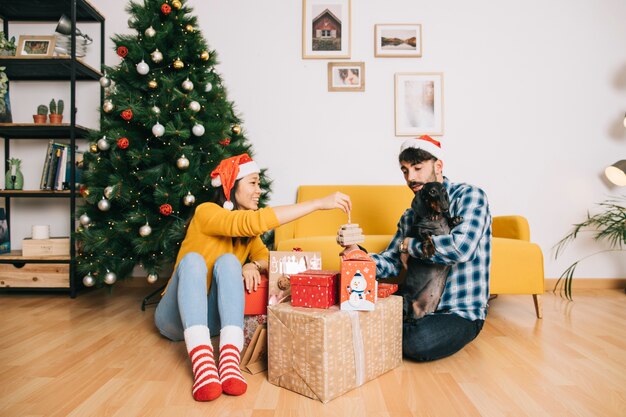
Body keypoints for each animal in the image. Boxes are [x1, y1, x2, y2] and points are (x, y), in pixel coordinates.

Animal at [398, 180, 460, 320]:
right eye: (432, 192)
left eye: (443, 190)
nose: (445, 208)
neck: (435, 219)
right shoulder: (418, 231)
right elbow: (426, 236)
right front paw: (429, 248)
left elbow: (450, 222)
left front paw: (455, 219)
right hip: (406, 302)